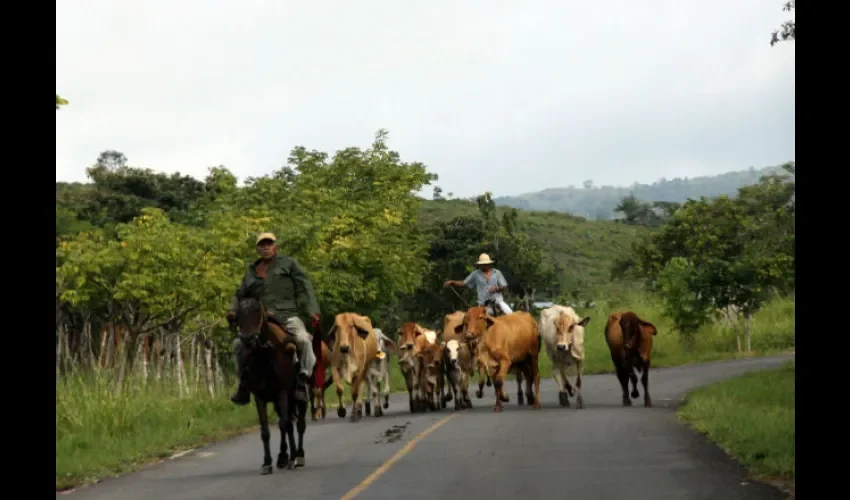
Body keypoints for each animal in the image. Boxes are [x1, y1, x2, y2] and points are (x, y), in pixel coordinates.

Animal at [234, 292, 306, 476]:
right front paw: (267, 463)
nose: (248, 339)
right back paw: (286, 457)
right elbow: (266, 431)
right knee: (287, 425)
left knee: (298, 425)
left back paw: (298, 456)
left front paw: (288, 458)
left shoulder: (282, 393)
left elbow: (285, 425)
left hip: (298, 398)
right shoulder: (260, 397)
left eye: (257, 309)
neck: (264, 358)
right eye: (238, 312)